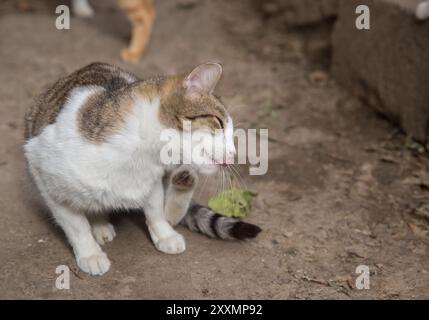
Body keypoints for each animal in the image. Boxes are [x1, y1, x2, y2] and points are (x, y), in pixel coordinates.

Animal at [23, 62, 260, 276]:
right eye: (219, 123)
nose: (232, 155)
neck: (141, 155)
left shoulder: (152, 181)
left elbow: (156, 211)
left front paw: (164, 234)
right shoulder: (42, 171)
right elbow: (75, 224)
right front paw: (90, 253)